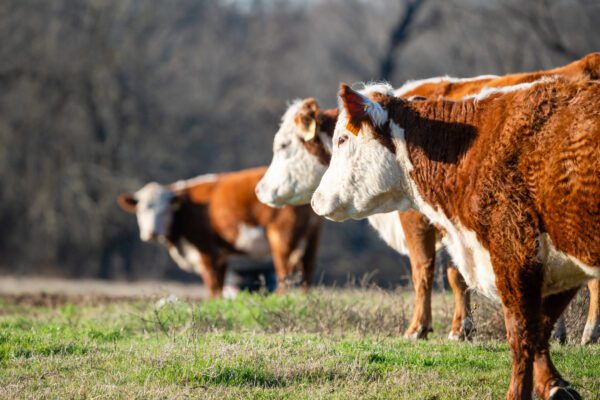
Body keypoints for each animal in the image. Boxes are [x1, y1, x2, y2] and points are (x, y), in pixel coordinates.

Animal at [119, 166, 322, 296]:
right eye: (141, 209)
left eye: (164, 210)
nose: (151, 233)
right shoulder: (222, 254)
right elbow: (220, 282)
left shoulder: (206, 251)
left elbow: (213, 284)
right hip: (311, 238)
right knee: (308, 271)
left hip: (282, 237)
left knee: (284, 272)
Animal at [312, 79, 596, 400]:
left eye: (342, 139)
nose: (315, 200)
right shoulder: (559, 264)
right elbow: (540, 329)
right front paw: (553, 384)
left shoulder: (515, 254)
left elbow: (521, 334)